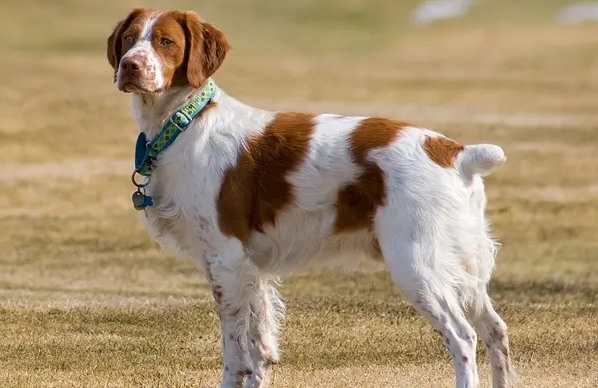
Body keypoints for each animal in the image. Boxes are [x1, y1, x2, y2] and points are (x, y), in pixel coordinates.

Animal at [106, 6, 516, 388]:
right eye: (129, 38)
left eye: (165, 41)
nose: (129, 66)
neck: (185, 123)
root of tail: (455, 151)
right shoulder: (253, 269)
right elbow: (260, 348)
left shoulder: (226, 260)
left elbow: (236, 354)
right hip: (463, 266)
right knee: (496, 330)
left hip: (417, 264)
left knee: (463, 336)